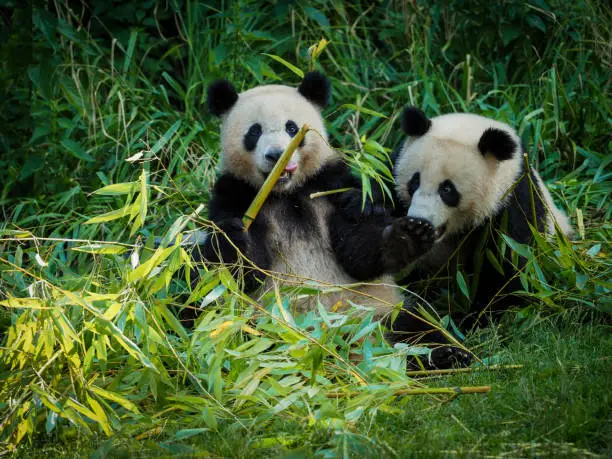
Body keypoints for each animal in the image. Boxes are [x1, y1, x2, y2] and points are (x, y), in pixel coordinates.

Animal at [392, 108, 572, 324]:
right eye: (415, 181)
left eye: (447, 189)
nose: (419, 221)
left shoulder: (512, 202)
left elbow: (510, 270)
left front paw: (472, 318)